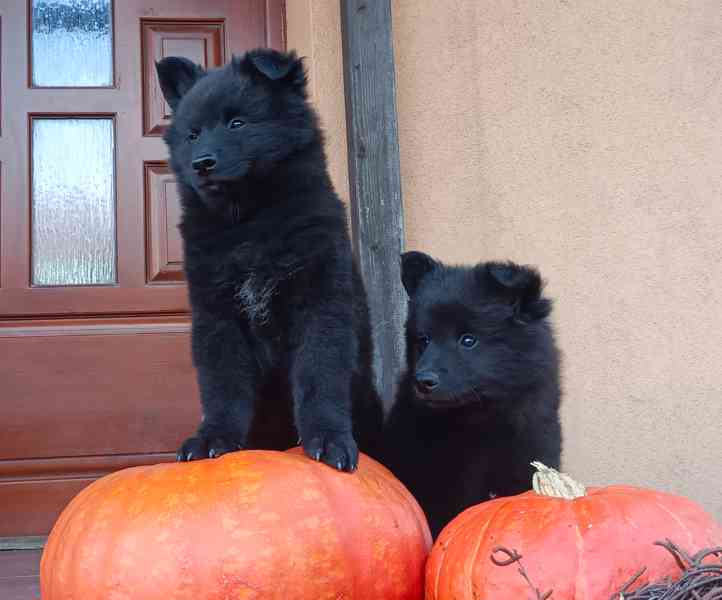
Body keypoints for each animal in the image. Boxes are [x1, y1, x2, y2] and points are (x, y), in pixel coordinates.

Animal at [156, 49, 382, 472]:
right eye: (192, 135)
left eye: (237, 122)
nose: (201, 163)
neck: (250, 220)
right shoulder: (217, 315)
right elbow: (223, 383)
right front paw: (213, 438)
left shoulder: (322, 303)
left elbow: (319, 375)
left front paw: (327, 439)